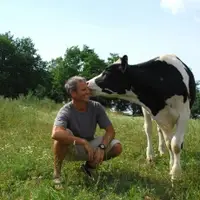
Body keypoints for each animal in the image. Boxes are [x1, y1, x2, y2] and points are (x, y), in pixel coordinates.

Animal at [86, 53, 196, 181]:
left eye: (107, 72)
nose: (87, 83)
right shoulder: (160, 116)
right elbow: (170, 143)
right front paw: (172, 166)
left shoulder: (183, 114)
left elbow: (176, 145)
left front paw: (176, 173)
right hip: (146, 112)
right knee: (149, 130)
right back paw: (151, 155)